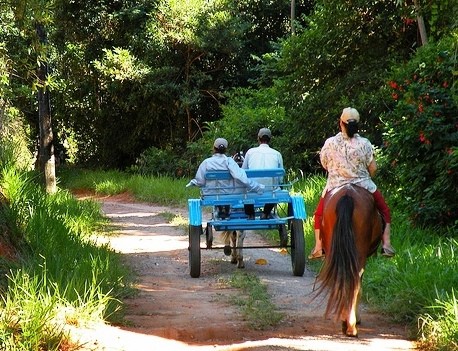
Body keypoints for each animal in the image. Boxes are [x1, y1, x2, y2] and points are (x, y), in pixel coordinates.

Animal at [314, 183, 382, 336]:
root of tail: (347, 195)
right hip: (359, 253)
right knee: (354, 282)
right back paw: (351, 326)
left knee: (341, 279)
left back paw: (347, 322)